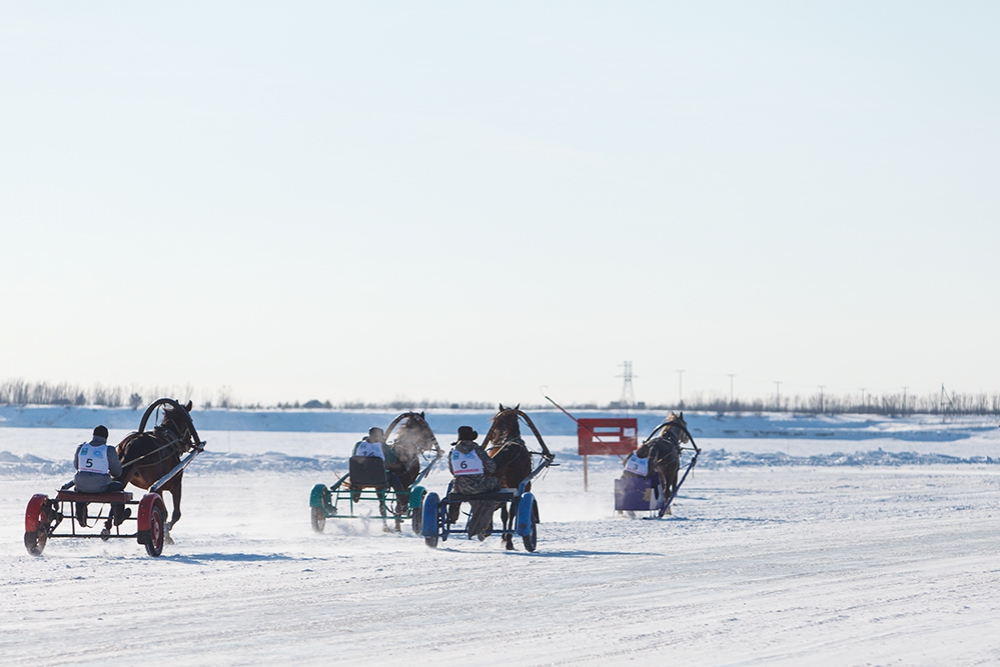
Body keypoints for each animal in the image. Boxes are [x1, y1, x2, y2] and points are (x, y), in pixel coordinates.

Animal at [115, 400, 201, 540]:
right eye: (190, 419)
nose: (189, 443)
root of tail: (133, 443)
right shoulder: (175, 484)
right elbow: (175, 513)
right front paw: (166, 532)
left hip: (125, 476)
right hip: (156, 486)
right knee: (164, 512)